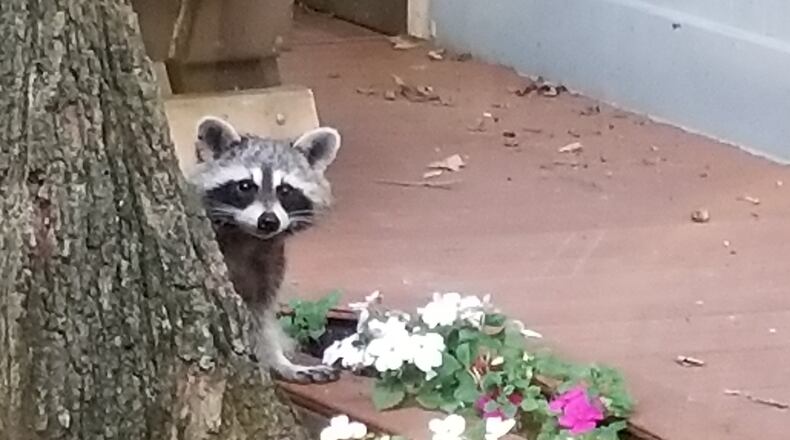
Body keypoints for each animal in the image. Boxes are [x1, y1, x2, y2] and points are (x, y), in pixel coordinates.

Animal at [188, 116, 341, 384]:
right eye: (245, 186)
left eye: (285, 190)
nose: (268, 221)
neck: (248, 238)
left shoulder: (268, 263)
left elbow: (261, 315)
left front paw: (278, 361)